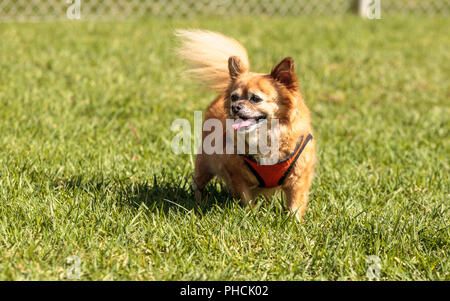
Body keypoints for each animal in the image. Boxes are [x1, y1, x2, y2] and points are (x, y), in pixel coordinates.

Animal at [176, 29, 316, 220]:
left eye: (255, 98)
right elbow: (245, 198)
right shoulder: (237, 174)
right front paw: (251, 216)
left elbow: (295, 203)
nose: (235, 106)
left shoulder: (298, 178)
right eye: (234, 97)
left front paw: (292, 222)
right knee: (198, 183)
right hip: (205, 163)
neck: (265, 135)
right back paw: (199, 201)